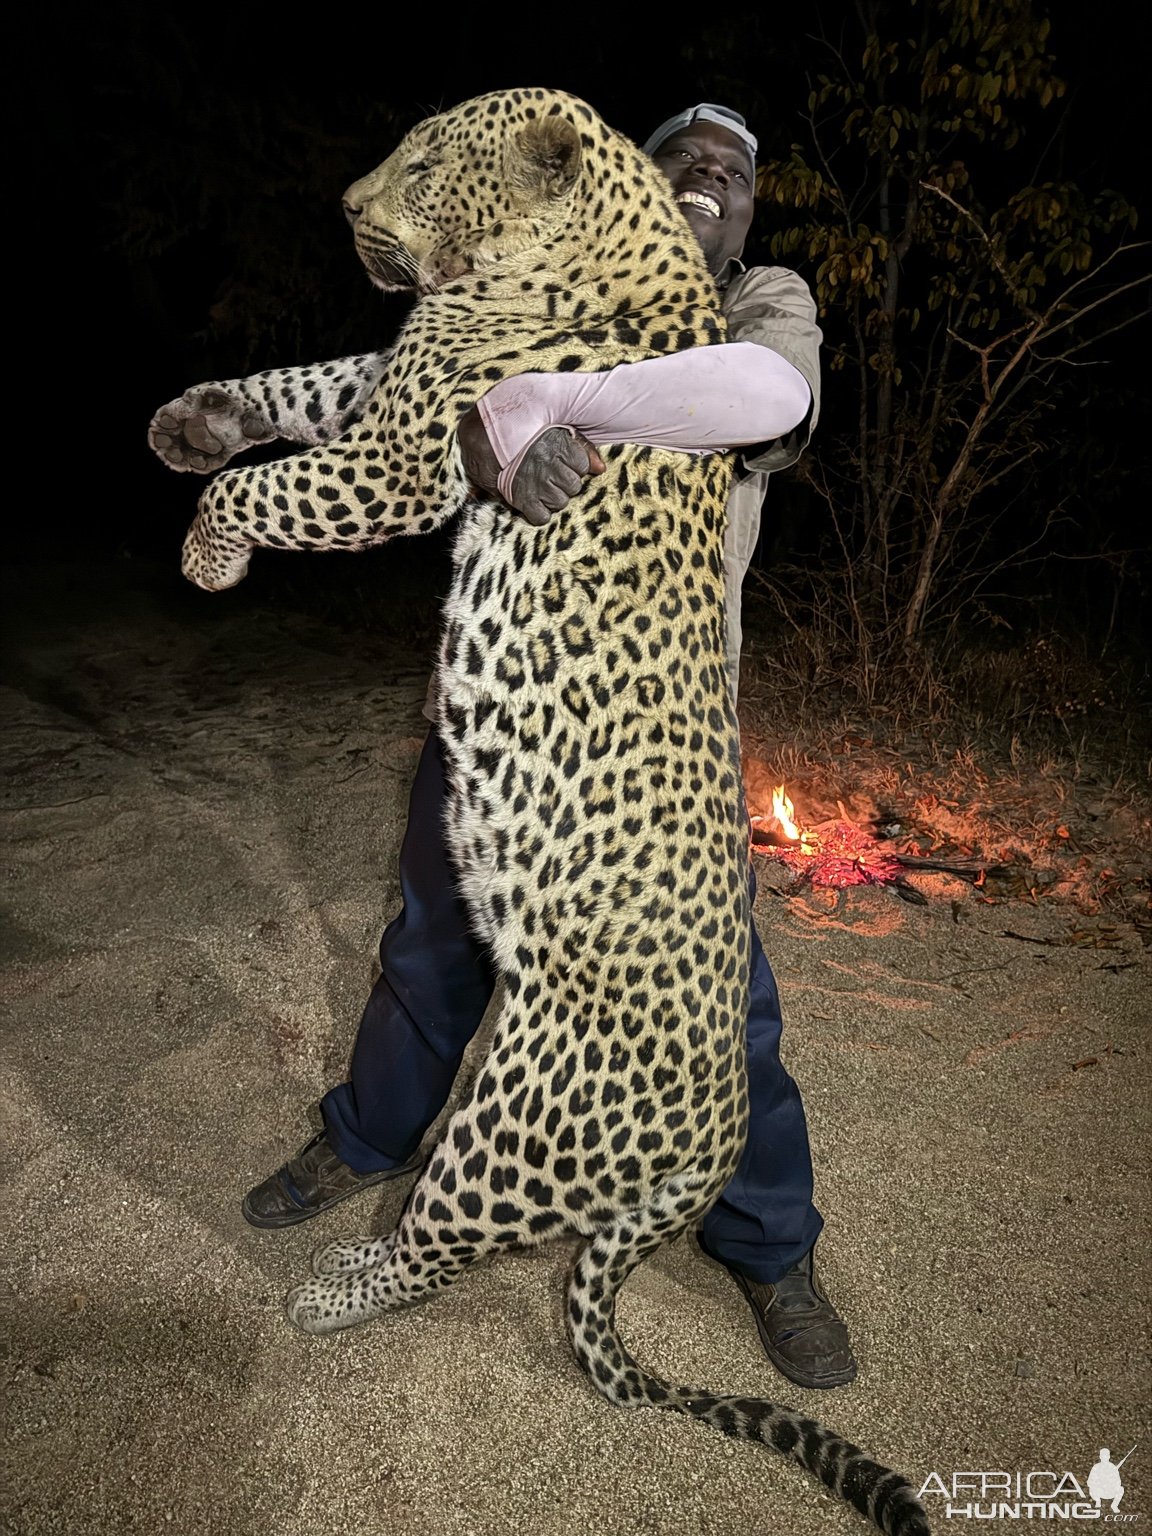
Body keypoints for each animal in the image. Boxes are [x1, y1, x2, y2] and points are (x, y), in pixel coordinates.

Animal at [168, 87, 927, 1536]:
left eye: (425, 161)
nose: (347, 207)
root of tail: (718, 1132)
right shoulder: (386, 380)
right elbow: (301, 381)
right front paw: (195, 414)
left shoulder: (406, 448)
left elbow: (276, 482)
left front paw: (210, 546)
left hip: (507, 1123)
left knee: (438, 1244)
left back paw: (334, 1292)